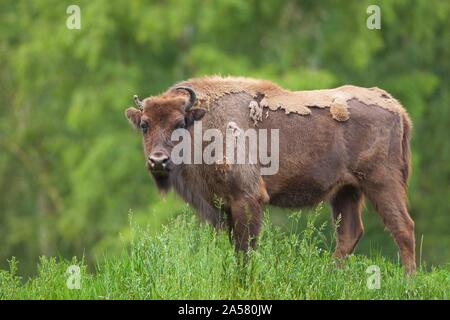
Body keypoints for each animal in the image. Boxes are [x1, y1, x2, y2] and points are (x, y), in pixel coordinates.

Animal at [124, 76, 414, 274]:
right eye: (144, 125)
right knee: (349, 234)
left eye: (179, 123)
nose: (158, 160)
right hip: (346, 191)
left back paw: (407, 281)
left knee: (403, 227)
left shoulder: (247, 198)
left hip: (381, 183)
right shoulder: (220, 208)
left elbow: (246, 248)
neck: (205, 123)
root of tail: (397, 107)